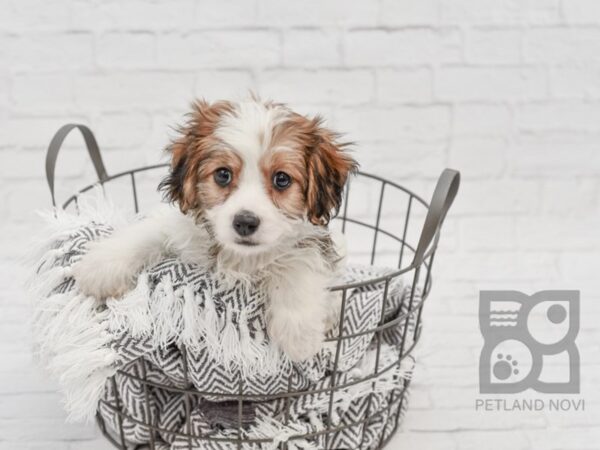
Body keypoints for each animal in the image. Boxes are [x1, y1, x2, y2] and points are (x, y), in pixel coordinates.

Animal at [73, 98, 358, 362]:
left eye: (282, 179)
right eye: (223, 174)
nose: (245, 222)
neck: (240, 258)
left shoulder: (312, 241)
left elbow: (299, 263)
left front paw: (299, 334)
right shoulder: (181, 228)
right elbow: (149, 232)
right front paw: (100, 267)